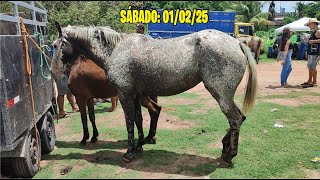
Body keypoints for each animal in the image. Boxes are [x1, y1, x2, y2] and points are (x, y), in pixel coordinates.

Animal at [53, 22, 256, 166]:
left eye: (59, 45)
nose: (58, 70)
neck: (115, 50)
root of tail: (237, 42)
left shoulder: (125, 94)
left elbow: (129, 122)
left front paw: (128, 153)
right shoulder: (136, 94)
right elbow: (138, 119)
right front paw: (139, 146)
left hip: (220, 94)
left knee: (235, 119)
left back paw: (230, 154)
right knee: (240, 118)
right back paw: (225, 148)